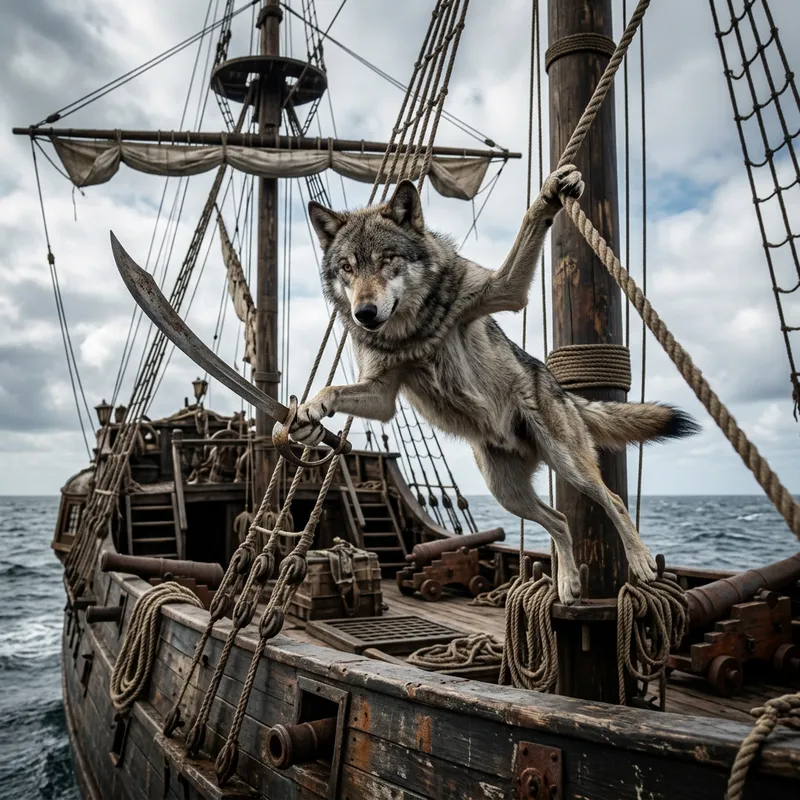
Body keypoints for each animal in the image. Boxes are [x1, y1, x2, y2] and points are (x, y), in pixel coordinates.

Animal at [290, 165, 700, 604]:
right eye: (347, 267)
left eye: (387, 260)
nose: (364, 314)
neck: (412, 330)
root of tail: (559, 388)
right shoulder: (382, 394)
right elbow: (332, 389)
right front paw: (307, 412)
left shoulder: (504, 290)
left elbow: (529, 223)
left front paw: (550, 194)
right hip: (508, 493)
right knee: (559, 519)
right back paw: (567, 583)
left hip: (570, 466)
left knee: (615, 502)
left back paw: (639, 562)